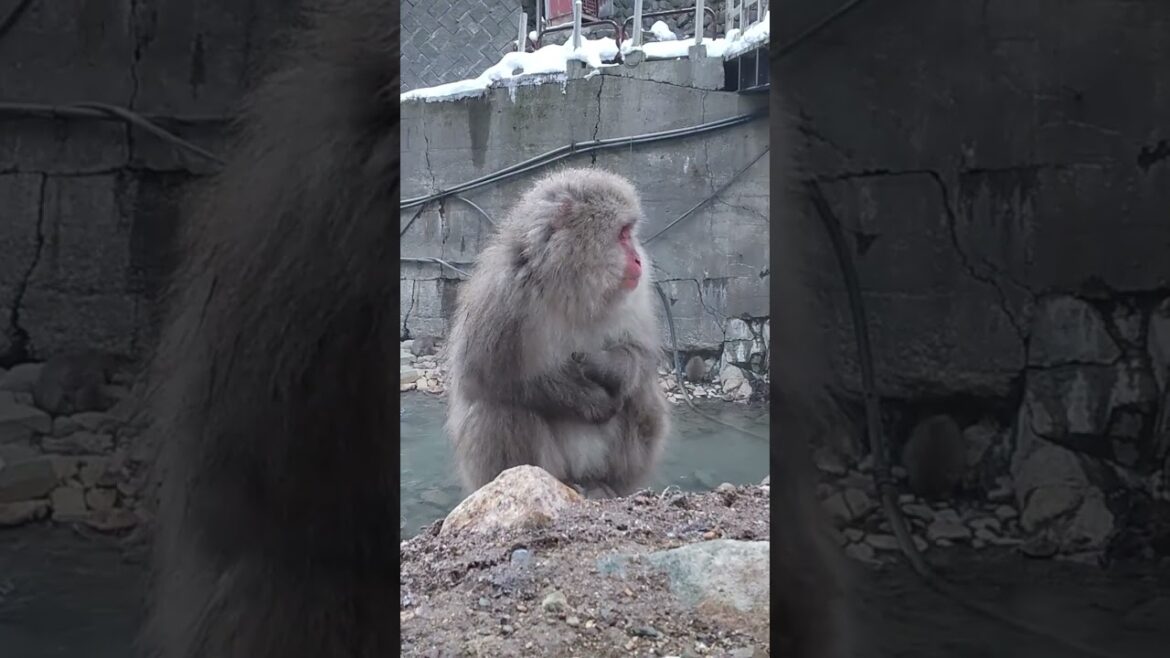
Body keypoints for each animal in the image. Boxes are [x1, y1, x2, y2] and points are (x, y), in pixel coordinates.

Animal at [442, 168, 671, 499]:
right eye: (622, 234)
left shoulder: (635, 294)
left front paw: (603, 364)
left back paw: (606, 483)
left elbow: (639, 353)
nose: (639, 259)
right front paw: (590, 401)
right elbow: (485, 379)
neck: (570, 289)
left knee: (642, 395)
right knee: (498, 410)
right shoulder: (500, 295)